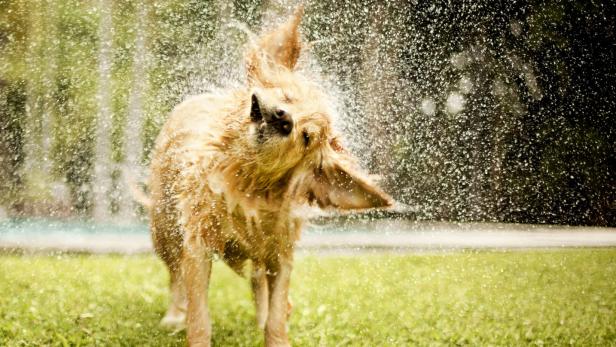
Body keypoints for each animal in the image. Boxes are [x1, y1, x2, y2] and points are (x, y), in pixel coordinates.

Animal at [149, 8, 390, 347]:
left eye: (306, 137)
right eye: (287, 97)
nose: (283, 118)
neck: (245, 181)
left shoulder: (281, 249)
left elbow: (277, 314)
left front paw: (274, 330)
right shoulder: (198, 245)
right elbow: (199, 315)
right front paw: (192, 328)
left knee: (257, 282)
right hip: (165, 226)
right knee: (174, 274)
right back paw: (173, 315)